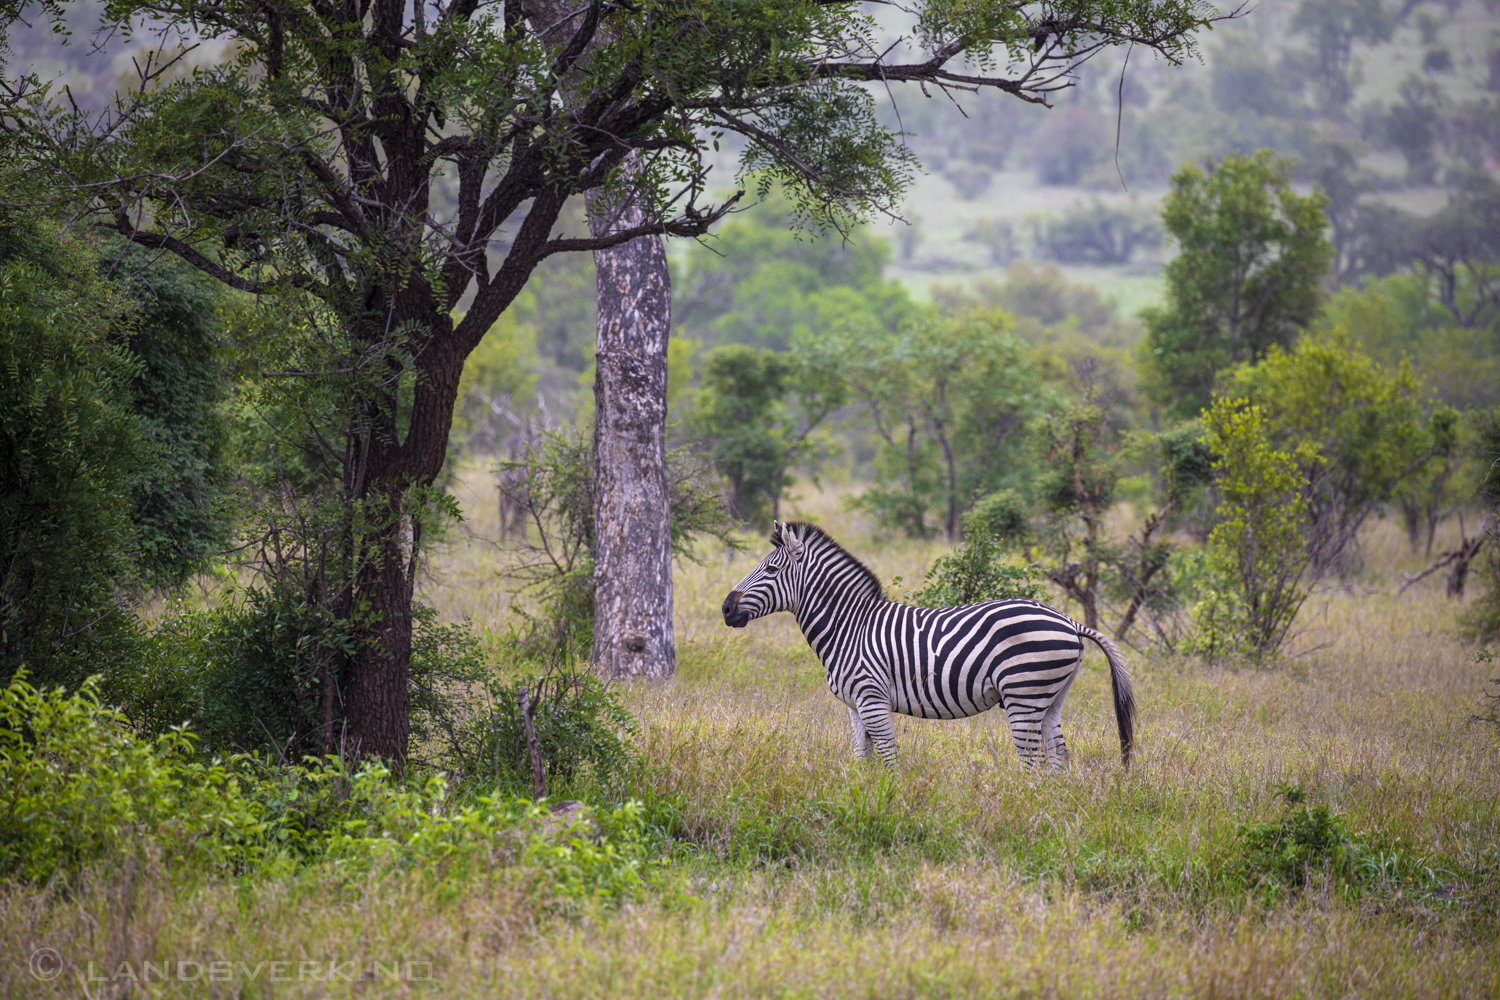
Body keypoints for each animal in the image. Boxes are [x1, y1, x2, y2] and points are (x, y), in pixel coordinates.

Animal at [723, 521, 1134, 773]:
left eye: (771, 570)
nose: (726, 608)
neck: (849, 627)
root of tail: (1068, 620)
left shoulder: (872, 699)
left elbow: (889, 759)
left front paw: (890, 806)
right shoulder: (854, 707)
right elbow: (861, 760)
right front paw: (861, 800)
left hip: (1024, 693)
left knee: (1034, 763)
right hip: (1051, 697)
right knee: (1058, 757)